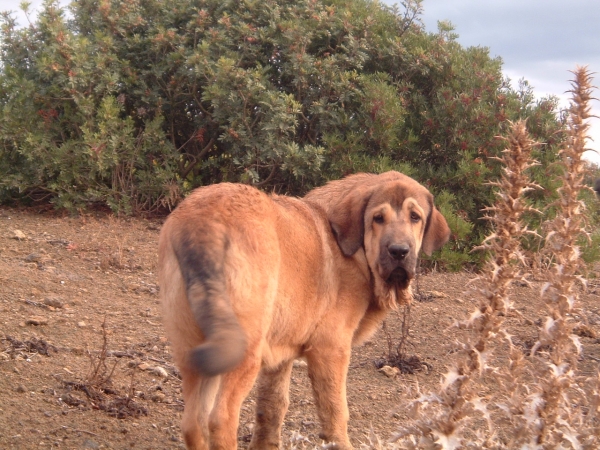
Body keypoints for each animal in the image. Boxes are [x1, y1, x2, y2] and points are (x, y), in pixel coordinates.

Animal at [159, 171, 450, 448]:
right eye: (378, 218)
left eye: (415, 217)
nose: (399, 251)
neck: (357, 251)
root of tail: (204, 222)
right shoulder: (331, 349)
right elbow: (335, 412)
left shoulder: (279, 356)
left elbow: (272, 409)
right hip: (242, 349)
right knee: (220, 421)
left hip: (195, 351)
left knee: (193, 424)